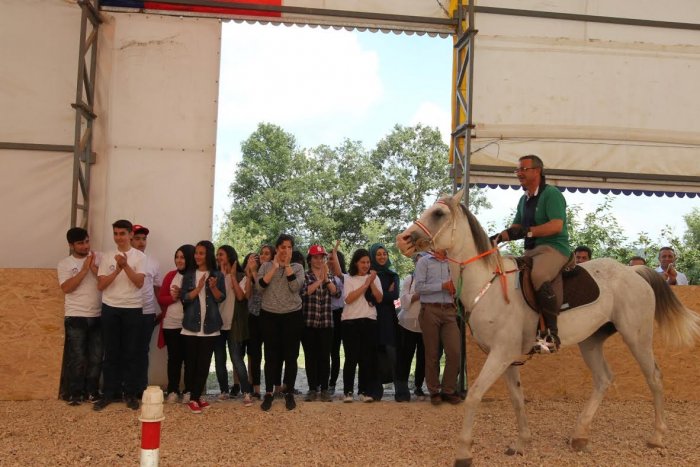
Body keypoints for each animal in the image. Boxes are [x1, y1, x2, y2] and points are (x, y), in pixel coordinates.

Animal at [396, 191, 696, 467]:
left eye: (438, 214)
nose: (403, 240)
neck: (487, 284)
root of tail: (633, 272)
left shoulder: (500, 354)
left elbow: (475, 395)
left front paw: (463, 452)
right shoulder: (507, 358)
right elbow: (517, 398)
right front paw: (521, 443)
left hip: (637, 337)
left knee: (654, 377)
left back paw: (657, 436)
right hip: (591, 341)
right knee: (603, 379)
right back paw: (579, 435)